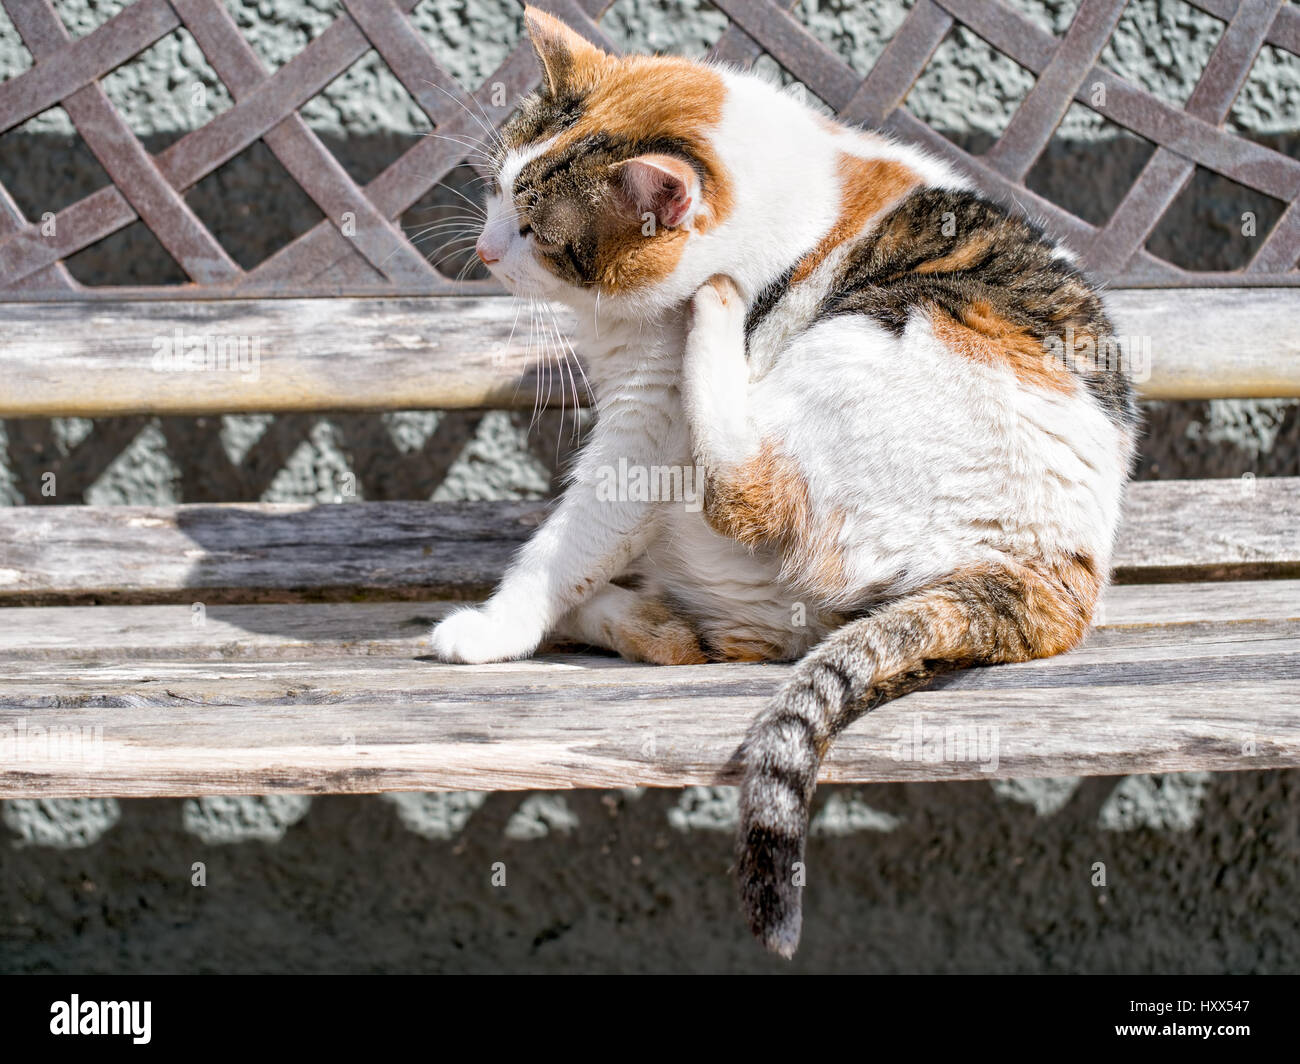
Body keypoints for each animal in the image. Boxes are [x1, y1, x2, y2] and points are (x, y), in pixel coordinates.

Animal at [431, 6, 1133, 952]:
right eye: (497, 189)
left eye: (537, 231)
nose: (483, 247)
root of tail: (1050, 576)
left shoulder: (648, 423)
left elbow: (570, 538)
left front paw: (496, 626)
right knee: (715, 639)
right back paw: (631, 615)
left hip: (875, 336)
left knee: (748, 504)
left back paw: (719, 322)